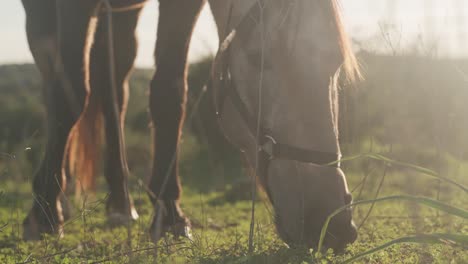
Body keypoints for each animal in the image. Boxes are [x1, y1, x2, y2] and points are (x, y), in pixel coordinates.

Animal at [21, 0, 358, 252]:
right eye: (258, 57)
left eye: (337, 63)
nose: (333, 222)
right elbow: (70, 93)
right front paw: (44, 212)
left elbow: (169, 91)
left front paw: (169, 210)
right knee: (56, 79)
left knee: (114, 83)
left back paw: (121, 202)